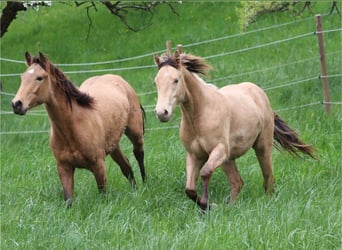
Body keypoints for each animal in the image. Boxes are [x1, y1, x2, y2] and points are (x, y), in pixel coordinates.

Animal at [11, 52, 146, 205]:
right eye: (22, 77)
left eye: (39, 78)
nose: (17, 104)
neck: (73, 128)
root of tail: (119, 80)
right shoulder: (64, 168)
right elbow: (68, 200)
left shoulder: (99, 166)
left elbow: (103, 195)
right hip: (113, 145)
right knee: (126, 166)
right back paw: (134, 191)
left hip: (135, 133)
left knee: (138, 155)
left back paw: (145, 185)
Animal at [154, 44, 314, 211]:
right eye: (156, 82)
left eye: (176, 80)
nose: (161, 113)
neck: (200, 115)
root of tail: (258, 92)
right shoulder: (194, 155)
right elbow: (190, 189)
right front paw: (208, 206)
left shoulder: (219, 150)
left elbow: (205, 173)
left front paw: (207, 204)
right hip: (228, 160)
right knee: (237, 182)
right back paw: (230, 207)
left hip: (261, 147)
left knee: (267, 177)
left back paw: (268, 201)